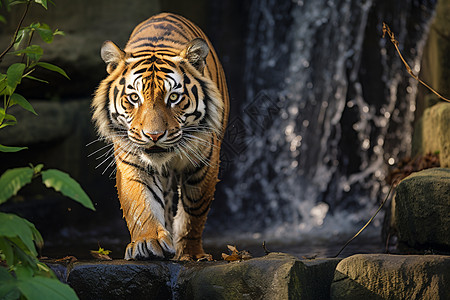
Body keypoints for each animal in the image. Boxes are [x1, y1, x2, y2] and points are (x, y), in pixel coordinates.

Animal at [93, 12, 230, 260]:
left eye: (173, 97)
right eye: (134, 98)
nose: (154, 135)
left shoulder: (204, 163)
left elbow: (193, 213)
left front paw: (190, 253)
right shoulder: (133, 162)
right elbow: (141, 203)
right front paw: (149, 242)